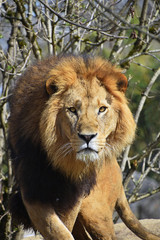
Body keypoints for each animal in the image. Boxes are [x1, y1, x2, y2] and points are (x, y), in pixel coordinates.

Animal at [9, 55, 160, 239]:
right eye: (72, 109)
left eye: (102, 109)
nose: (87, 137)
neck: (61, 160)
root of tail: (116, 167)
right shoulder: (33, 192)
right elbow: (58, 230)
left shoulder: (72, 198)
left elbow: (63, 229)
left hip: (97, 214)